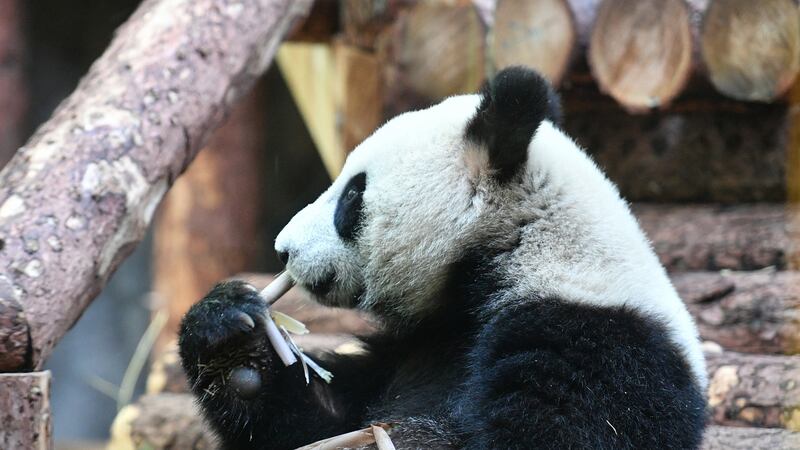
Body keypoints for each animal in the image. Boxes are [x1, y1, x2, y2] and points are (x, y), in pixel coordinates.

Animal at [178, 66, 707, 450]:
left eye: (353, 194)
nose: (284, 249)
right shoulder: (416, 345)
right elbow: (322, 421)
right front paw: (232, 339)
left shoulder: (599, 348)